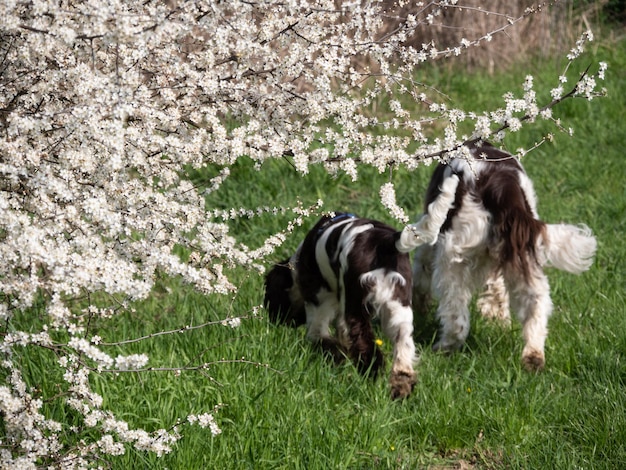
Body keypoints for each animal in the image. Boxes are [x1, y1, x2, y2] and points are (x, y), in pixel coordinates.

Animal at [264, 174, 458, 398]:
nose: (275, 320)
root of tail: (386, 242)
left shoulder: (320, 307)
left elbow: (325, 339)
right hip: (399, 307)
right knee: (403, 349)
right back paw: (400, 389)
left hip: (357, 305)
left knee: (368, 347)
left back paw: (370, 376)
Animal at [410, 140, 596, 370]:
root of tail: (501, 187)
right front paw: (497, 321)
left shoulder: (431, 236)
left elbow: (420, 275)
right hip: (524, 252)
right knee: (536, 304)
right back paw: (533, 357)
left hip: (452, 255)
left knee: (456, 314)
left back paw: (444, 347)